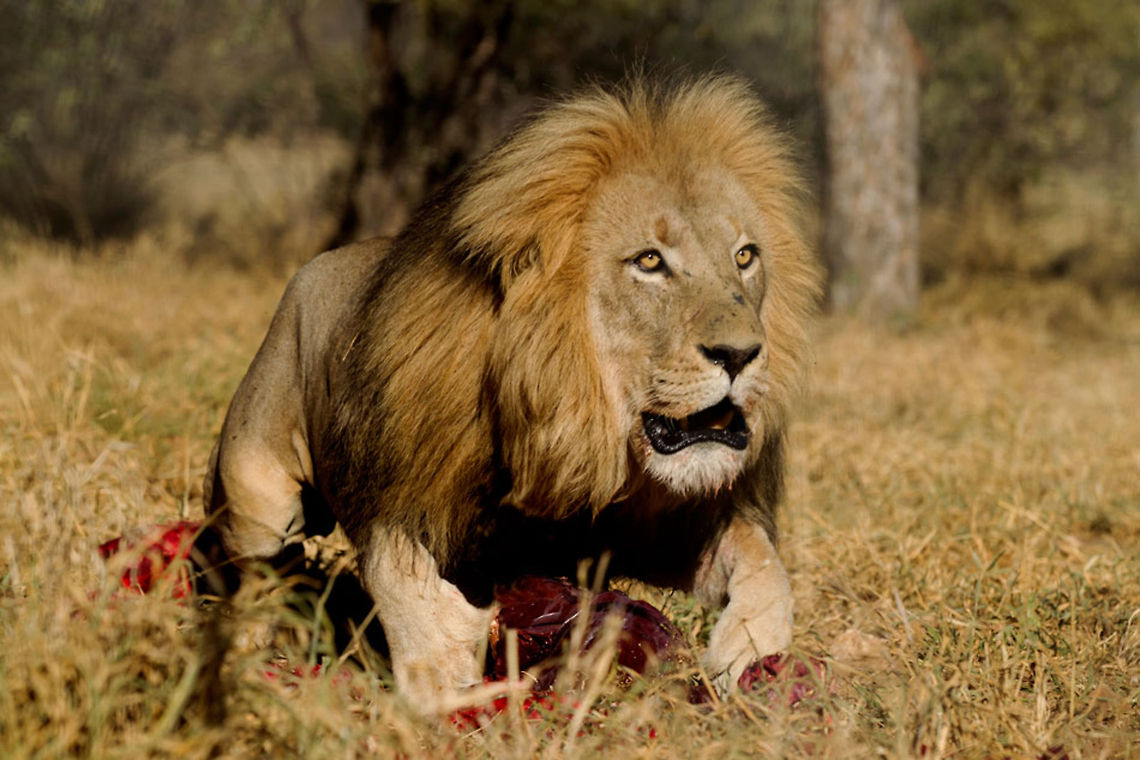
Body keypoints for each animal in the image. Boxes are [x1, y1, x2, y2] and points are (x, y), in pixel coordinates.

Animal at [203, 75, 822, 711]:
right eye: (649, 261)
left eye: (744, 256)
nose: (742, 354)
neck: (573, 416)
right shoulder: (402, 492)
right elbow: (399, 577)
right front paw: (444, 672)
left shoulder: (660, 530)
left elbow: (763, 559)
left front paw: (748, 649)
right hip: (256, 489)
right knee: (259, 569)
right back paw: (248, 648)